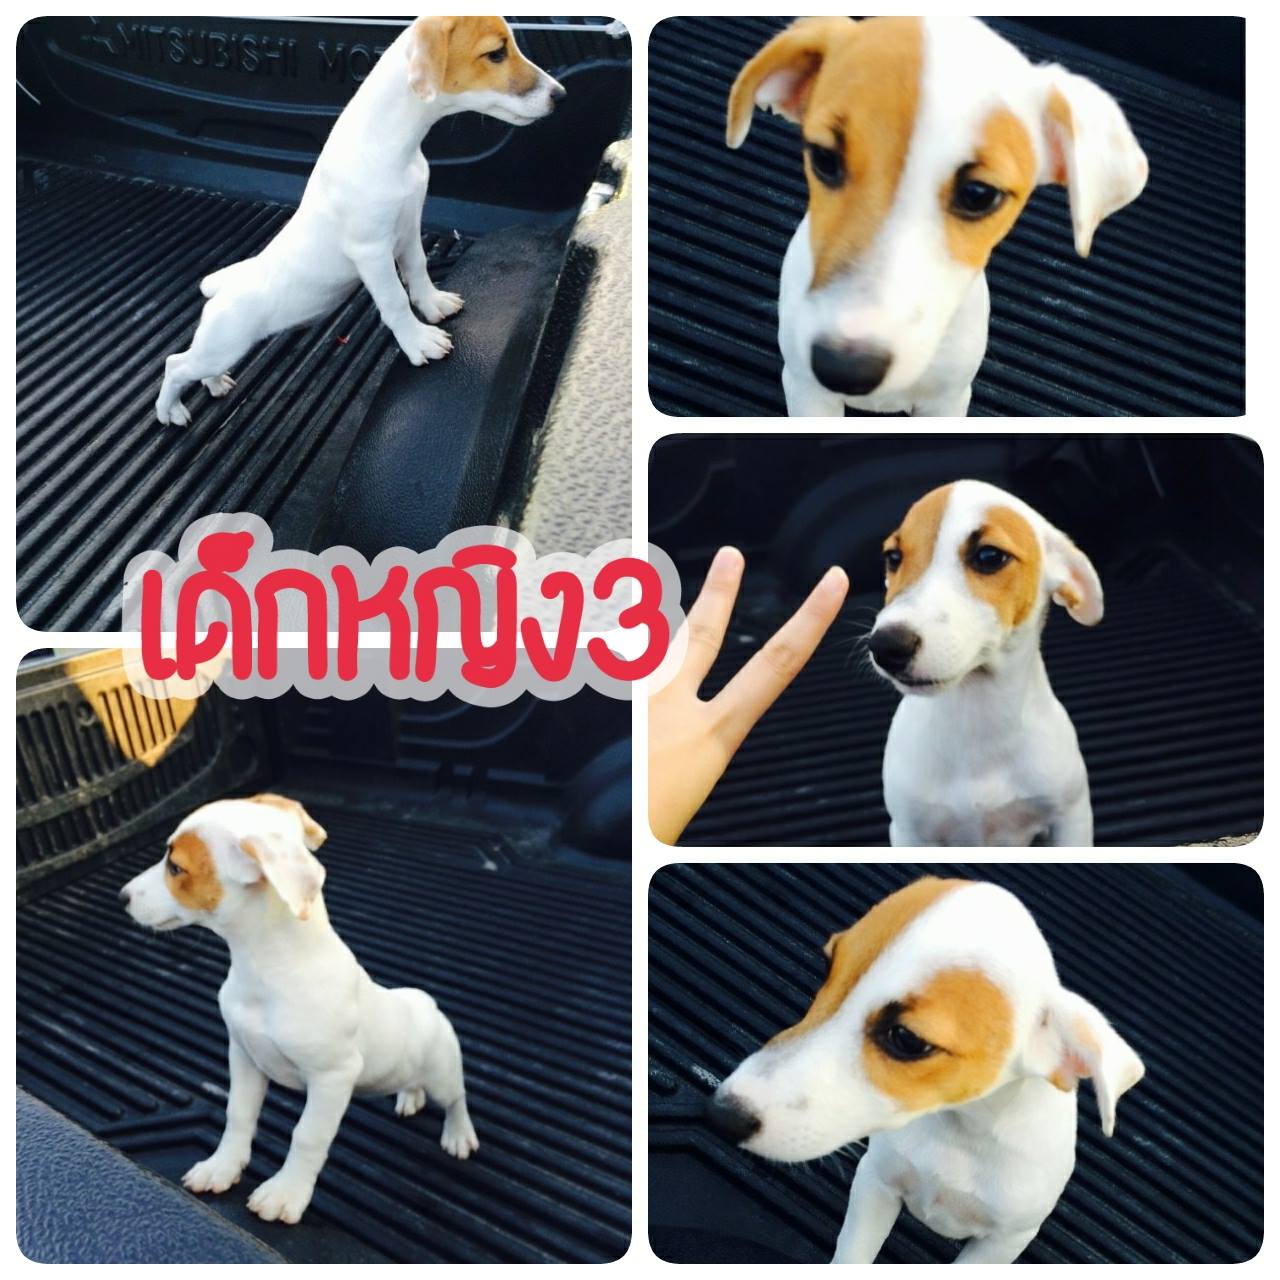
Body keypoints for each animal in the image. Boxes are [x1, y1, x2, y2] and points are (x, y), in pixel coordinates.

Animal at [119, 793, 478, 1225]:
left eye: (176, 867)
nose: (121, 897)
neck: (267, 970)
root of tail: (424, 1001)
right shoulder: (244, 1055)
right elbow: (238, 1114)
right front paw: (222, 1166)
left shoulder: (332, 1079)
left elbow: (307, 1136)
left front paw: (286, 1192)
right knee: (413, 1083)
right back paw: (409, 1096)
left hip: (442, 1071)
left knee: (456, 1099)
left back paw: (459, 1135)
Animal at [155, 16, 565, 425]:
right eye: (496, 53)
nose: (560, 95)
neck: (390, 148)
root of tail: (222, 290)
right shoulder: (371, 252)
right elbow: (395, 300)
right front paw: (418, 341)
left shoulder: (409, 227)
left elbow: (418, 269)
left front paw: (432, 303)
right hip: (223, 344)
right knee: (176, 365)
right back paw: (169, 411)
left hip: (221, 350)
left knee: (197, 369)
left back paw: (215, 385)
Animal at [706, 876, 1144, 1262]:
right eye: (827, 968)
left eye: (907, 1040)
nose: (722, 1115)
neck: (959, 1133)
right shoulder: (875, 1183)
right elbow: (852, 1256)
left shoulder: (1003, 1241)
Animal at [867, 480, 1101, 846]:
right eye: (893, 557)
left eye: (989, 556)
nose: (887, 646)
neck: (977, 716)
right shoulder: (909, 831)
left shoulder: (1071, 818)